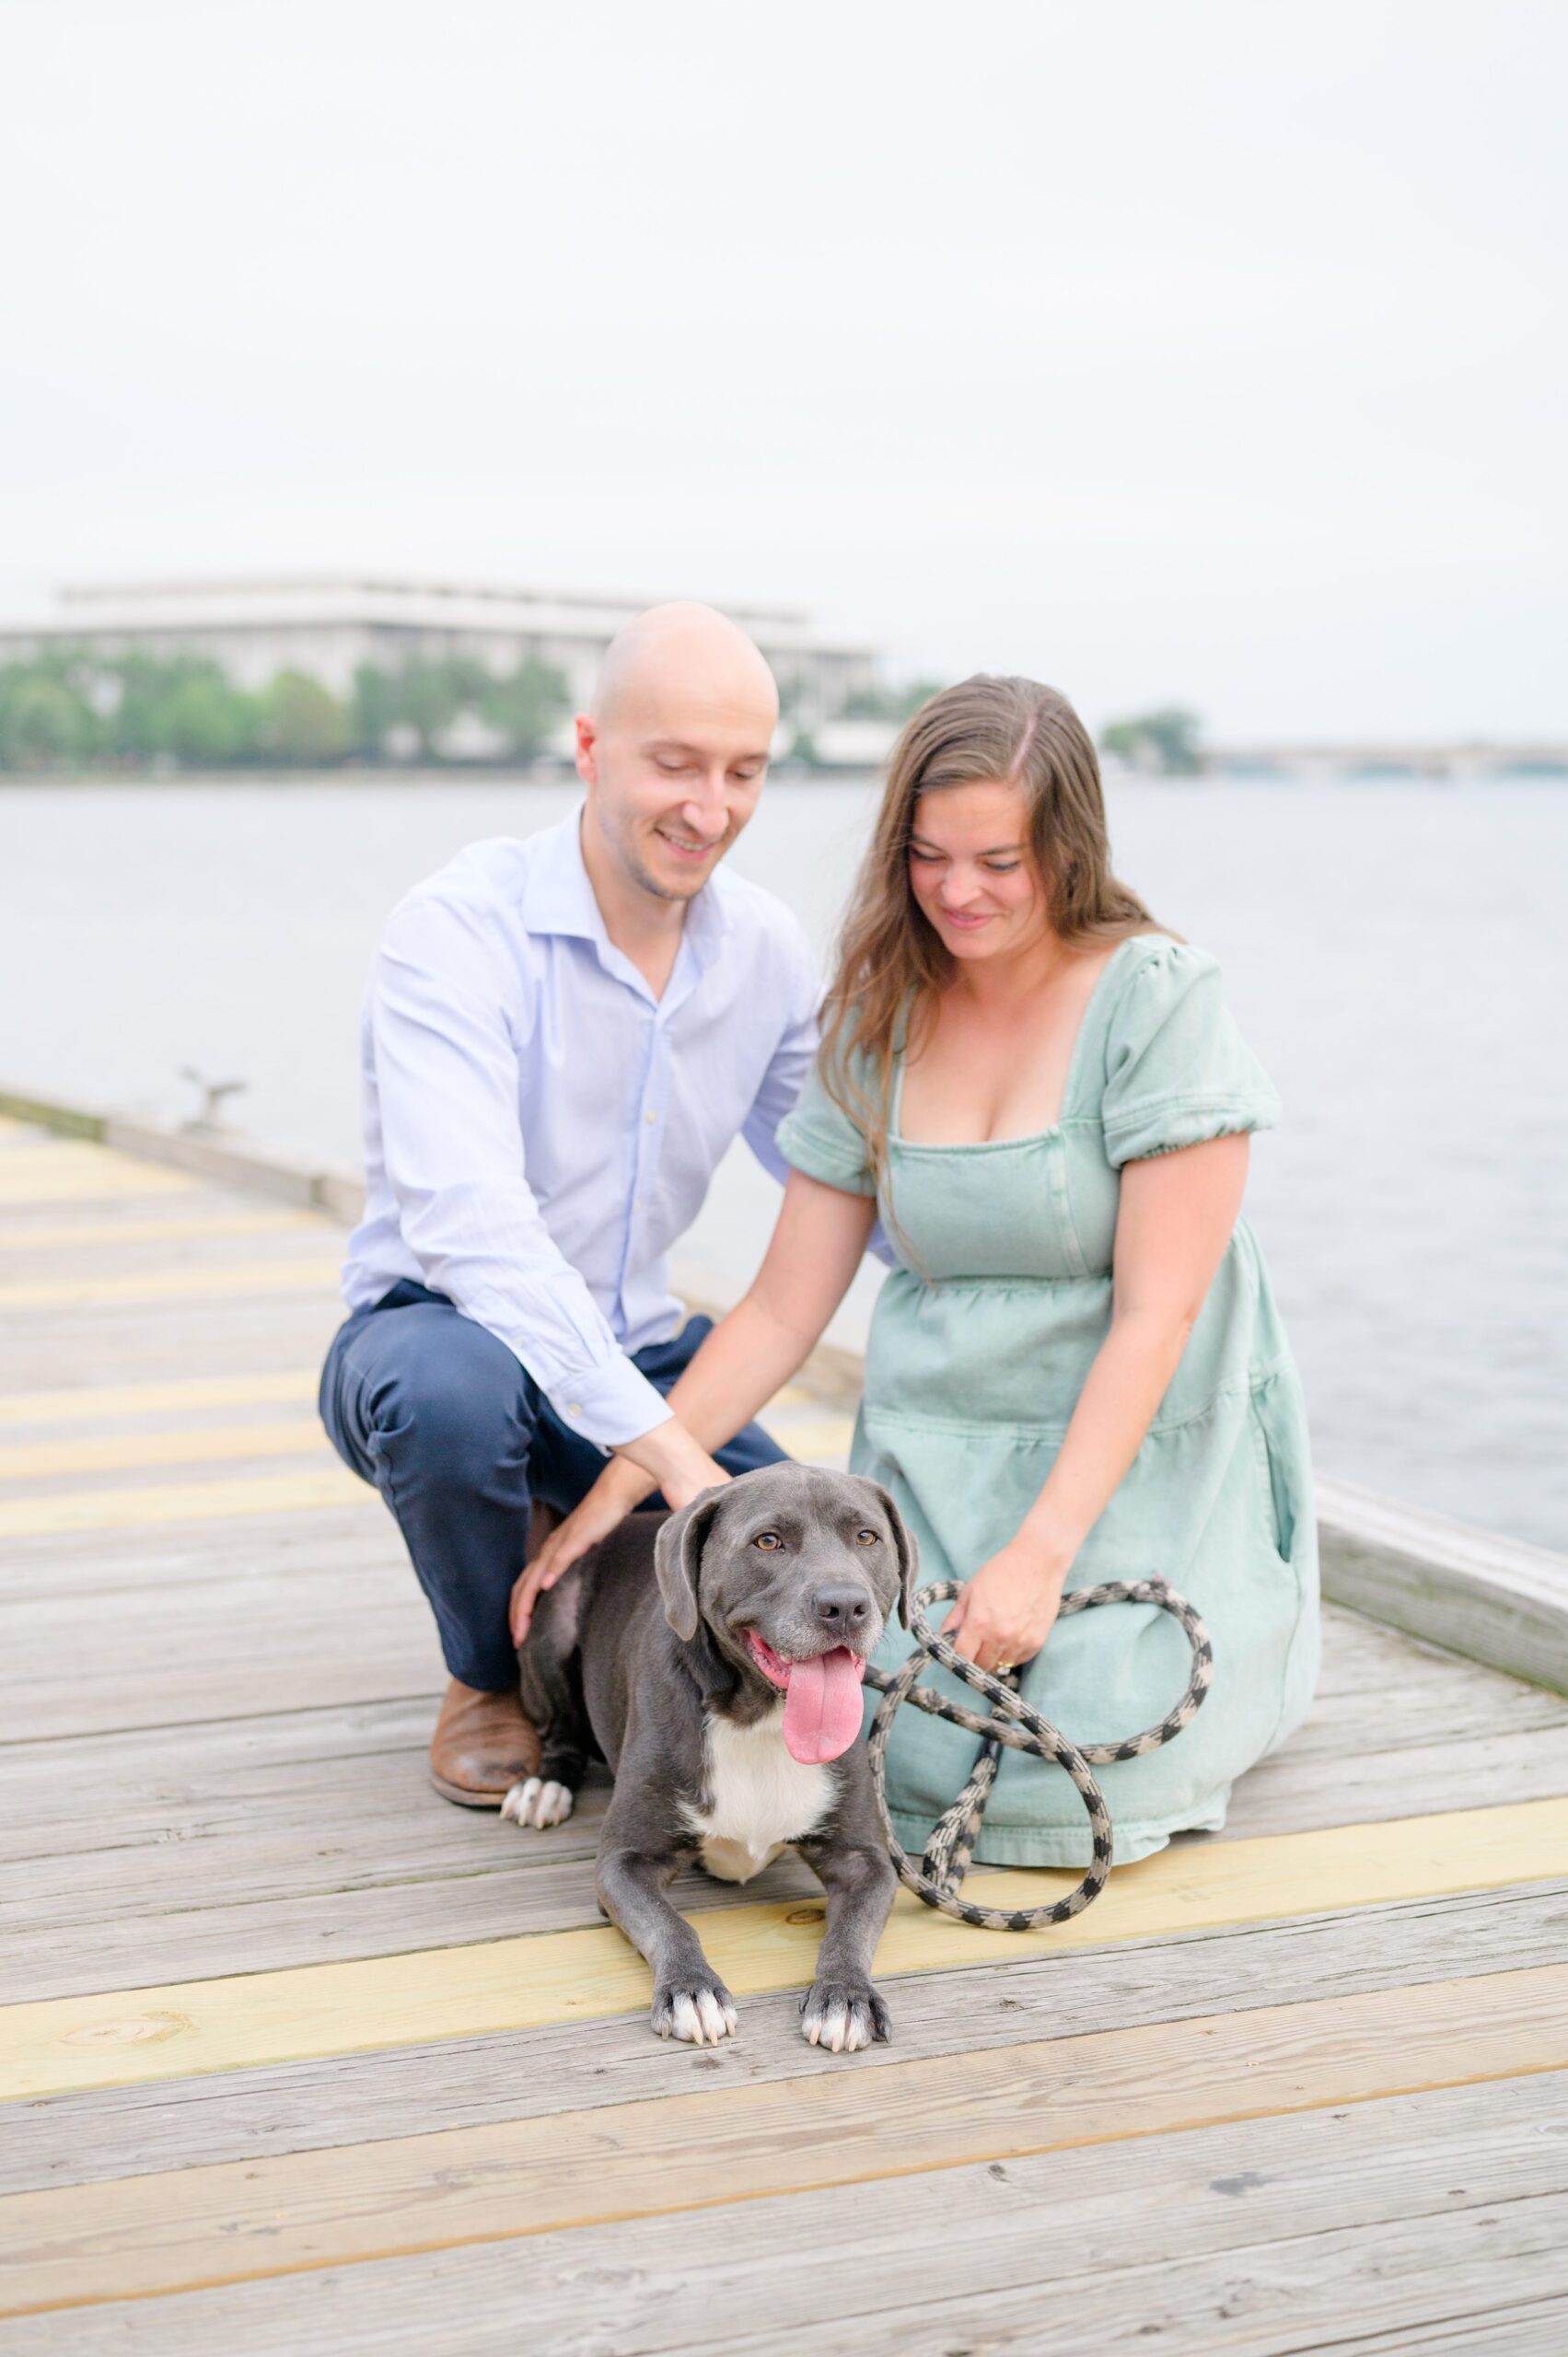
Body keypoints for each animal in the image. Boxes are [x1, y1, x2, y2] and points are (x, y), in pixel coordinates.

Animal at [506, 1461, 910, 2055]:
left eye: (866, 1537)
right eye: (768, 1541)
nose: (844, 1606)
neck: (760, 1718)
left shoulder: (864, 1860)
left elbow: (851, 1931)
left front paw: (845, 1995)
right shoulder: (624, 1861)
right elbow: (671, 1924)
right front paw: (691, 1991)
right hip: (551, 1629)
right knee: (559, 1734)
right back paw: (544, 1786)